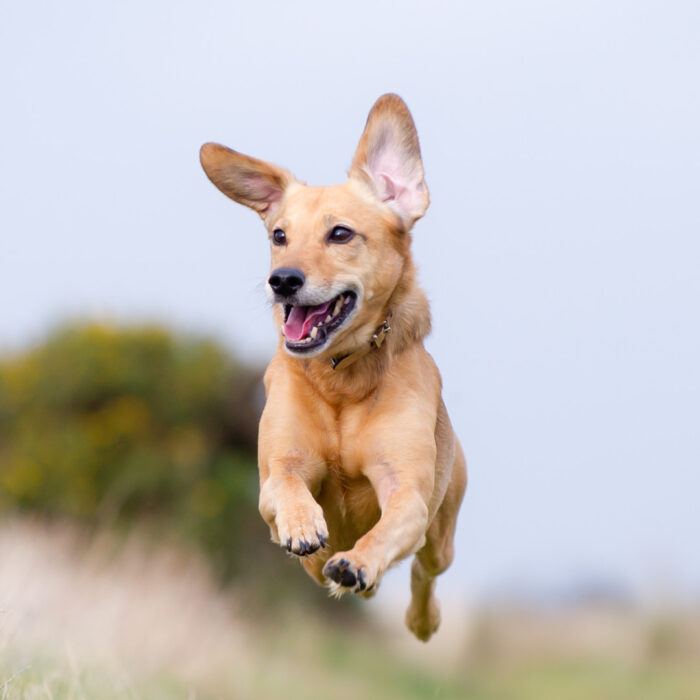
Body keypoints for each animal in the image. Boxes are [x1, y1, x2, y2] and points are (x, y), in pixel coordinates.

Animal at [200, 94, 468, 640]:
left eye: (340, 233)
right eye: (279, 235)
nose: (281, 280)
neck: (341, 377)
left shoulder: (406, 490)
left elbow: (387, 528)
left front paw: (356, 562)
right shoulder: (278, 469)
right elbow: (286, 483)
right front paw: (304, 524)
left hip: (442, 534)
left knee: (424, 571)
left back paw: (420, 618)